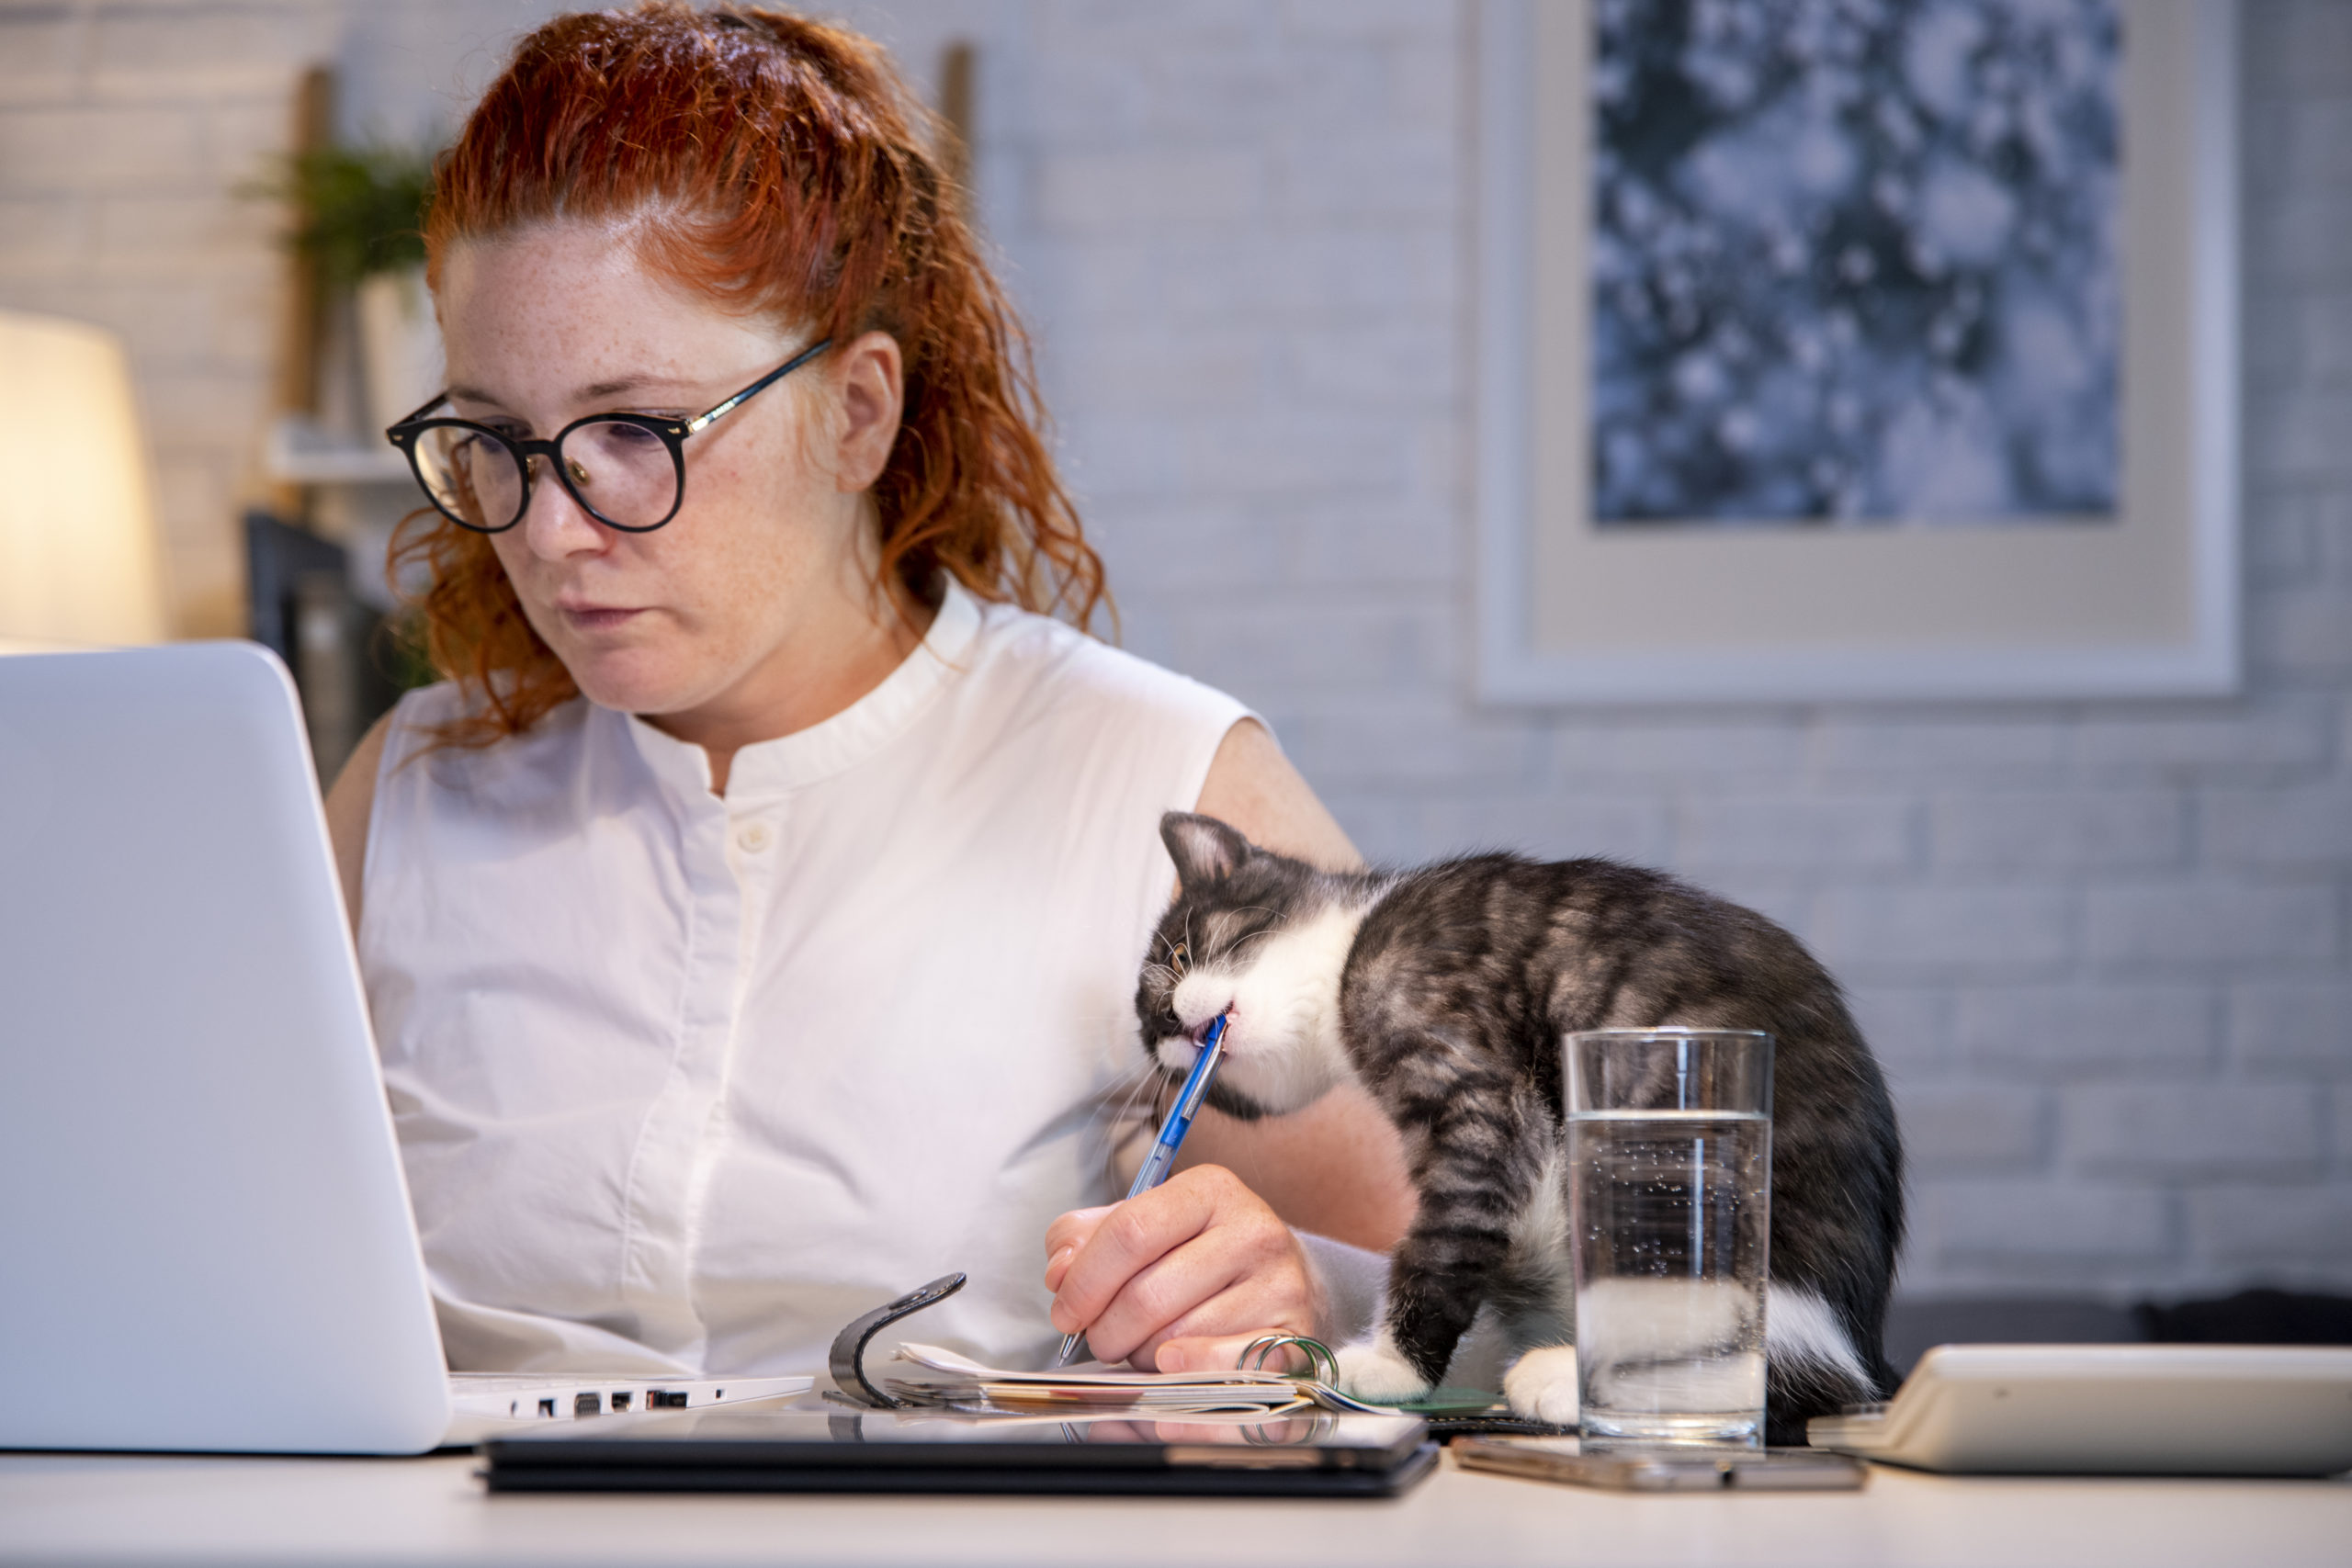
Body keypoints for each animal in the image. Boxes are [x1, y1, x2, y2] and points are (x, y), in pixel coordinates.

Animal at [1128, 818, 1900, 1438]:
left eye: (1177, 955)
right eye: (1151, 1038)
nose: (1163, 1025)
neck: (1348, 945)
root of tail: (1854, 1333)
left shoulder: (1472, 1071)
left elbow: (1447, 1235)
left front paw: (1392, 1367)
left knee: (1807, 1380)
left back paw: (1573, 1381)